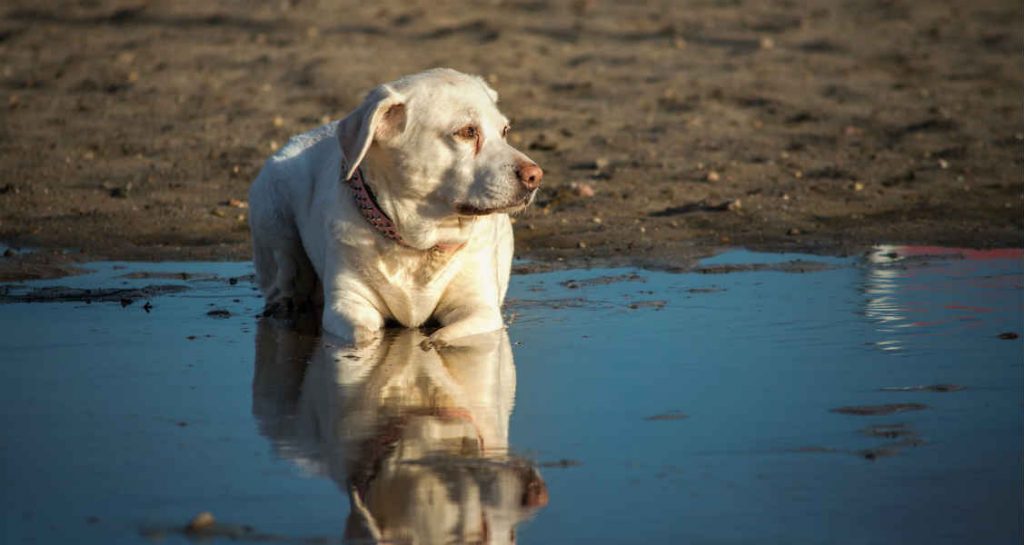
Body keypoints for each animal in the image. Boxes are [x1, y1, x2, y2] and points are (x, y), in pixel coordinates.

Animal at [248, 69, 544, 344]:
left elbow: (443, 337)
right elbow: (363, 338)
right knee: (283, 279)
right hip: (273, 216)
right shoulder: (348, 305)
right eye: (467, 132)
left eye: (505, 131)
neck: (419, 245)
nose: (535, 176)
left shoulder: (479, 309)